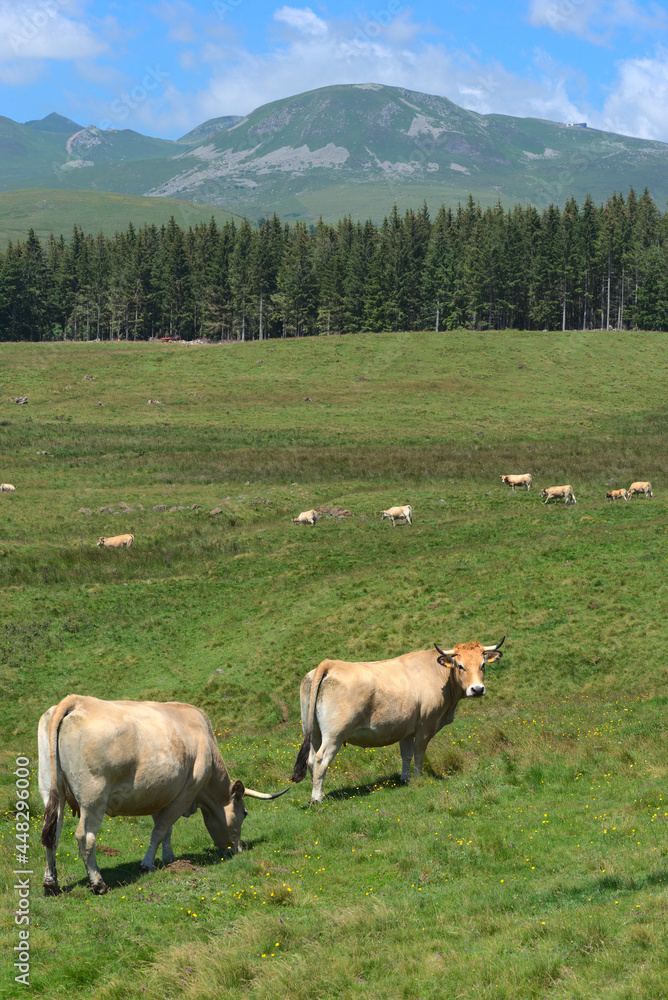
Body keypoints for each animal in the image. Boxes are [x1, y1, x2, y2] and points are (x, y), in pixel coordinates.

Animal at [39, 696, 288, 895]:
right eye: (244, 813)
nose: (238, 850)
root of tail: (77, 701)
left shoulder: (161, 794)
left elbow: (166, 830)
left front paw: (170, 859)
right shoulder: (186, 793)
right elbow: (159, 831)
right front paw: (147, 864)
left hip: (51, 792)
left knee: (53, 835)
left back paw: (51, 884)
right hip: (94, 797)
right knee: (85, 837)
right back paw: (98, 884)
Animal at [291, 637, 504, 803]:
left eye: (483, 665)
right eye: (461, 666)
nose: (477, 689)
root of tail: (330, 664)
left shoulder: (406, 729)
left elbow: (406, 755)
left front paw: (405, 779)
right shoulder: (425, 726)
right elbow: (419, 753)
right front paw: (418, 778)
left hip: (313, 731)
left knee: (310, 759)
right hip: (334, 735)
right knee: (320, 759)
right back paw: (317, 798)